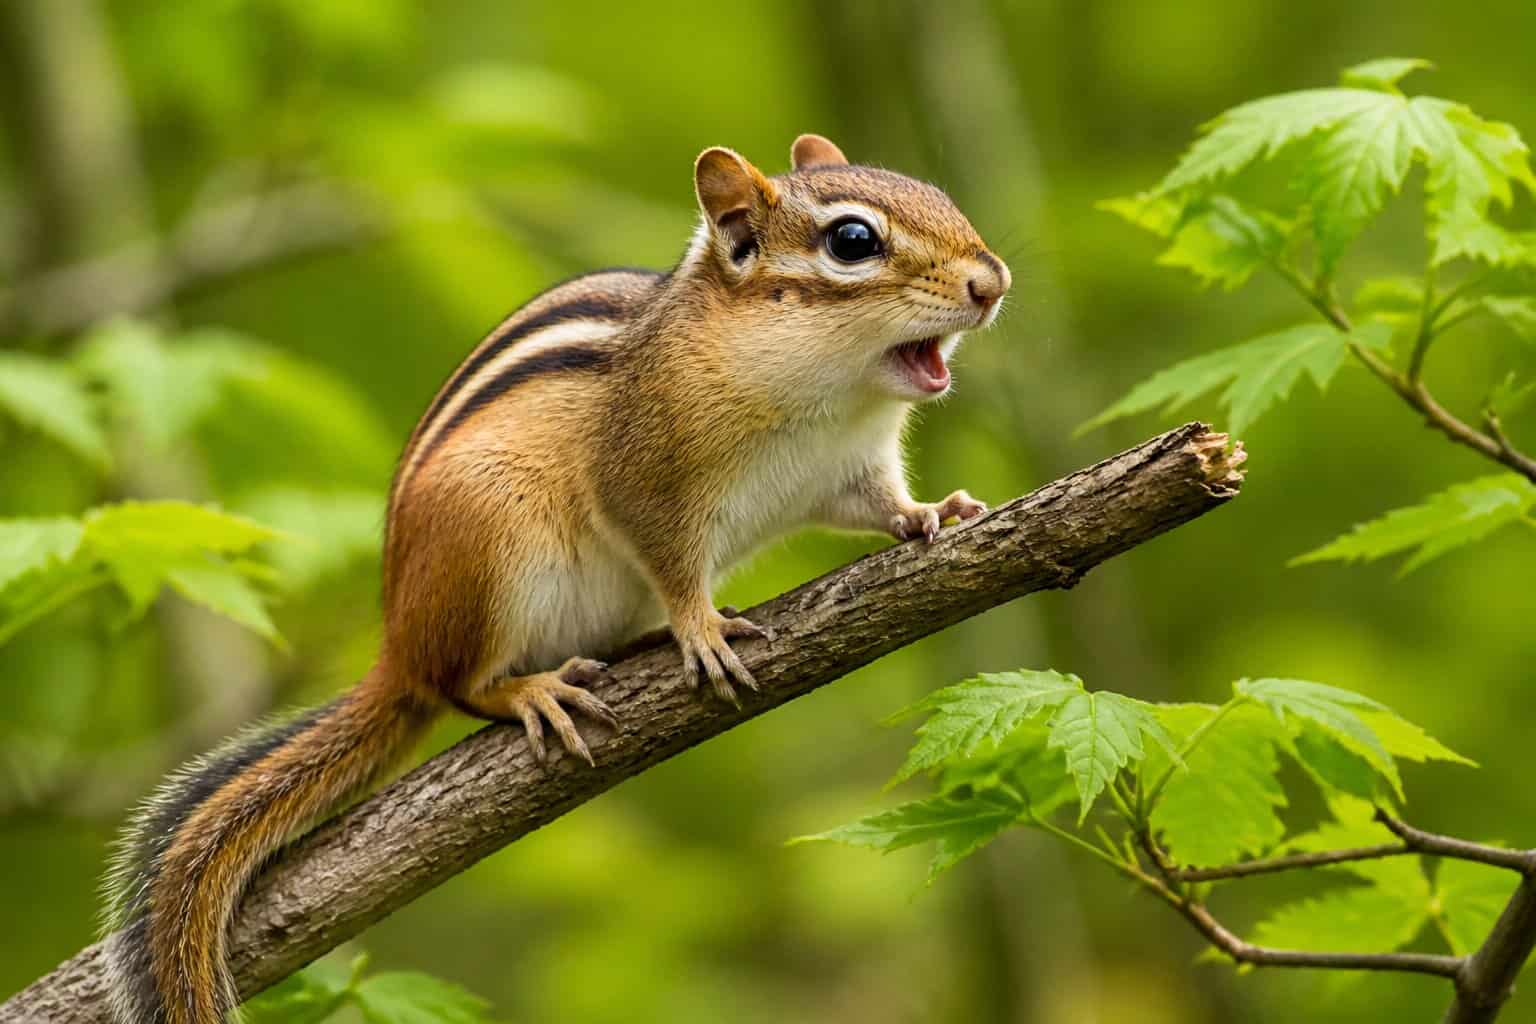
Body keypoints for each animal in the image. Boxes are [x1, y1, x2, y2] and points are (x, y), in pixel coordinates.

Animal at [101, 134, 1010, 1024]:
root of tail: (399, 644)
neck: (828, 396)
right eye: (852, 241)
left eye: (937, 194)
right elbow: (670, 560)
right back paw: (530, 691)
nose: (992, 281)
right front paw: (701, 627)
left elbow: (879, 503)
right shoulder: (642, 481)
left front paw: (932, 512)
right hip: (494, 546)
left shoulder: (849, 469)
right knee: (460, 684)